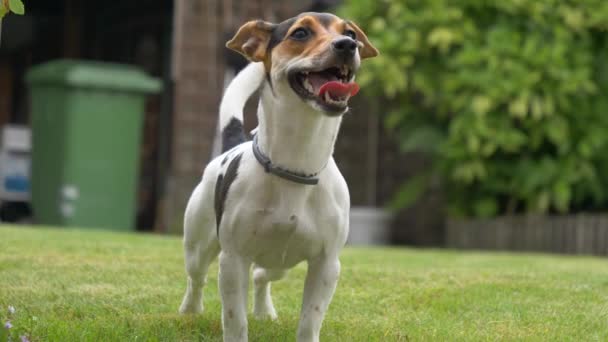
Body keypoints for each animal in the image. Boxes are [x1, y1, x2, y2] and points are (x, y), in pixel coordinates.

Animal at [178, 12, 378, 340]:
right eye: (300, 33)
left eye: (350, 33)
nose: (348, 45)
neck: (295, 163)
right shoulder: (232, 261)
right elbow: (235, 320)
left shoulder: (326, 265)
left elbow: (310, 320)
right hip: (198, 243)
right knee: (196, 278)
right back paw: (190, 310)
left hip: (280, 263)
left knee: (262, 276)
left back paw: (264, 311)